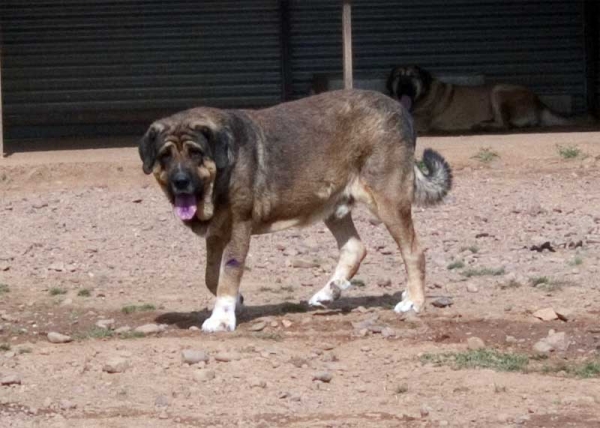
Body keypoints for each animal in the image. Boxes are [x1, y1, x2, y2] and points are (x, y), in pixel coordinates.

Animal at [138, 89, 452, 332]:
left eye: (196, 153)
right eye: (165, 155)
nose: (180, 182)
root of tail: (401, 109)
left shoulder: (239, 226)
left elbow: (228, 272)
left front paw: (222, 318)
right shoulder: (216, 235)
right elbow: (211, 276)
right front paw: (234, 302)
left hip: (388, 202)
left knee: (413, 251)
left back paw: (413, 300)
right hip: (333, 207)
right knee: (355, 247)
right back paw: (332, 290)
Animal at [386, 64, 576, 132]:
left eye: (412, 77)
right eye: (398, 77)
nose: (403, 85)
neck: (423, 94)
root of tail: (538, 101)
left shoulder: (420, 121)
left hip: (498, 91)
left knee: (506, 124)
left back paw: (484, 125)